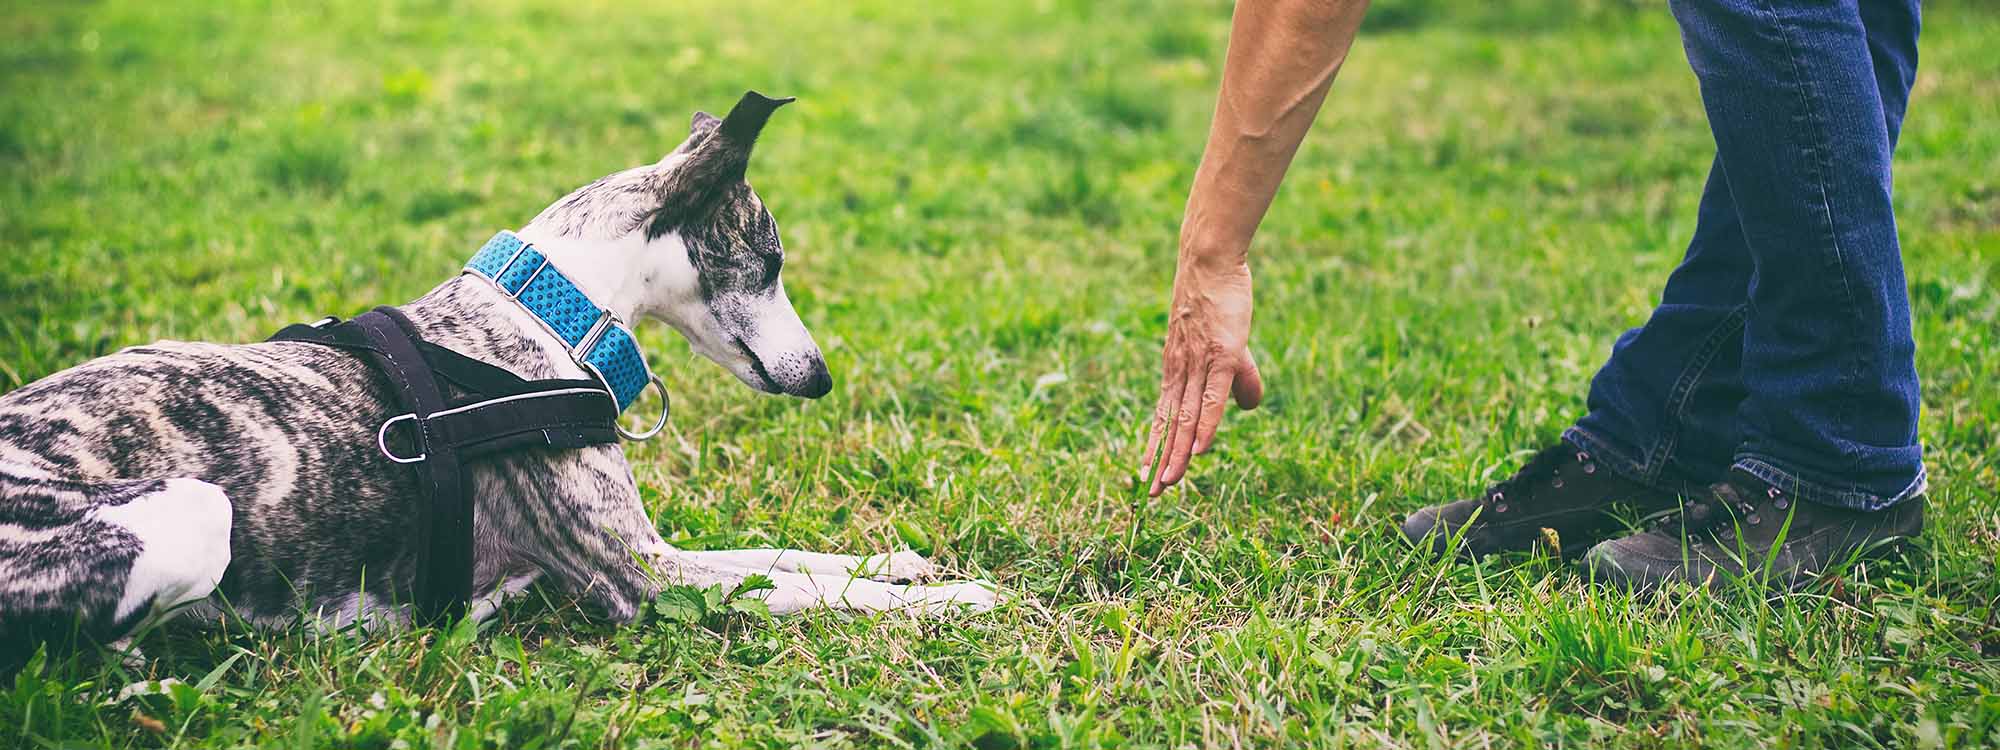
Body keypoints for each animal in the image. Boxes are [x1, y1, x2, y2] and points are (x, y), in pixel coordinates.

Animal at [0, 91, 1000, 668]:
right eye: (772, 258)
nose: (822, 379)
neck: (546, 314)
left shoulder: (654, 551)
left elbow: (789, 556)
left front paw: (905, 563)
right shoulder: (642, 578)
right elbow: (815, 590)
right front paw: (955, 601)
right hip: (191, 513)